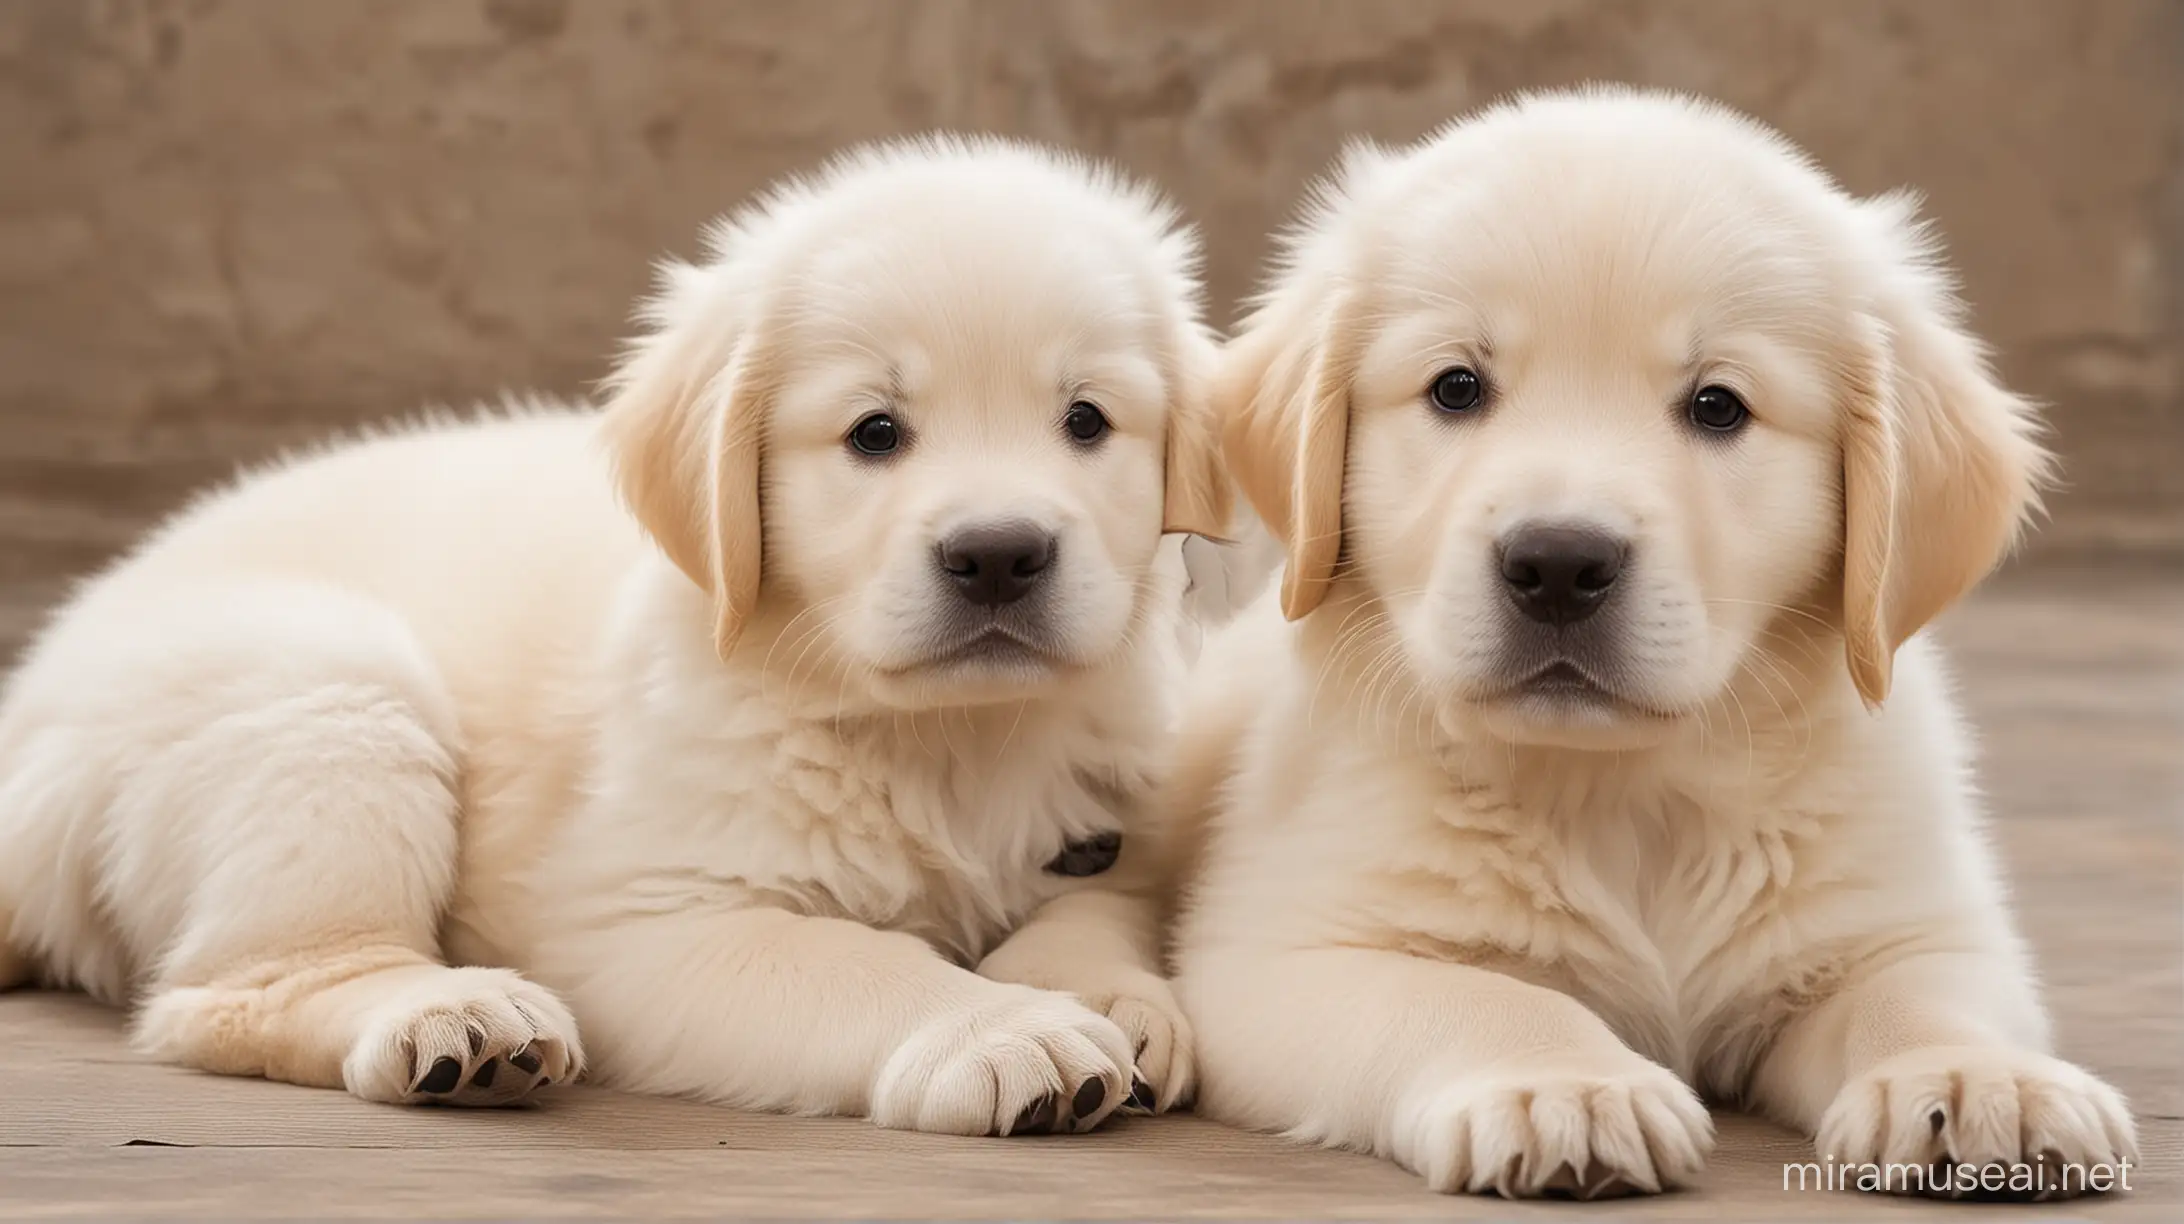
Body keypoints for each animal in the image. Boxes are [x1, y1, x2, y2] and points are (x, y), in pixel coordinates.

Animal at [0, 138, 1231, 1136]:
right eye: (875, 434)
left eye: (1086, 421)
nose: (1000, 554)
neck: (947, 734)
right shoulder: (638, 922)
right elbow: (852, 960)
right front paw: (1004, 1029)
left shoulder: (1109, 835)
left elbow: (1094, 908)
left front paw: (1111, 997)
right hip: (331, 690)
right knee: (239, 992)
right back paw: (458, 1013)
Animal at [1170, 90, 2140, 1197]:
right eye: (1456, 388)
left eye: (1717, 405)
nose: (1557, 564)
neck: (1626, 794)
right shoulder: (1278, 957)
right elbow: (1488, 996)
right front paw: (1564, 1086)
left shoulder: (1911, 920)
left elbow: (1919, 992)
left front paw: (1979, 1077)